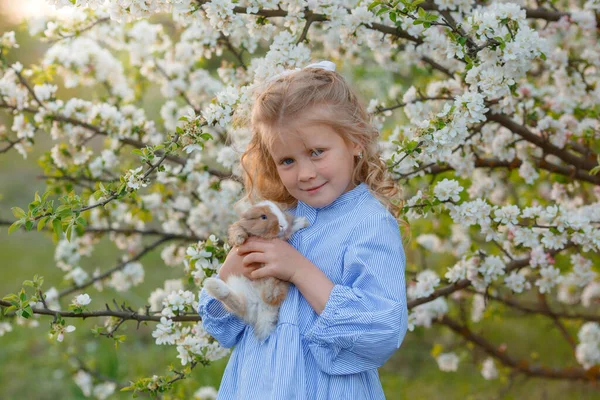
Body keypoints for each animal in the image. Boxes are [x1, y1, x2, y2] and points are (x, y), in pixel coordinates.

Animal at [205, 200, 310, 340]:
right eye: (263, 217)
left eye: (281, 212)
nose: (282, 225)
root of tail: (260, 306)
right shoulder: (240, 226)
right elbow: (237, 229)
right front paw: (239, 239)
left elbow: (289, 231)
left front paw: (302, 222)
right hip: (237, 284)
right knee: (237, 304)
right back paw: (213, 285)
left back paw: (268, 293)